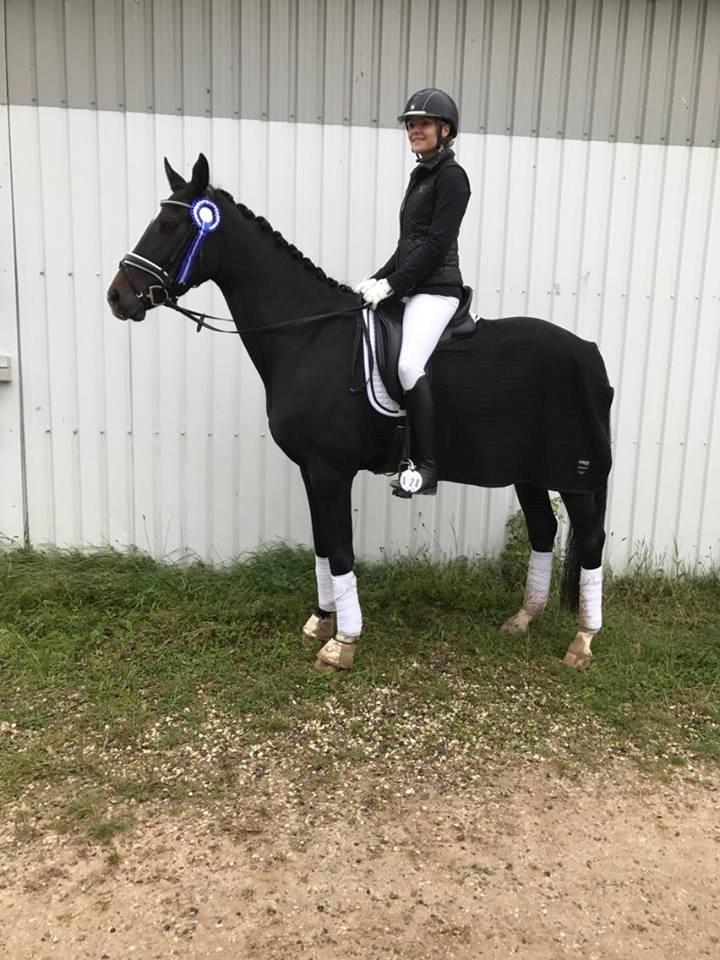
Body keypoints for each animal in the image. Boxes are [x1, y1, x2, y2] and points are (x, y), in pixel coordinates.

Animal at [107, 156, 612, 668]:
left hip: (571, 475)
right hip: (529, 471)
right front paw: (320, 620)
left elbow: (341, 552)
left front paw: (342, 643)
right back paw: (523, 619)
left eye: (169, 226)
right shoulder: (311, 469)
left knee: (590, 538)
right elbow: (323, 546)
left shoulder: (330, 470)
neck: (308, 337)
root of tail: (589, 351)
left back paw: (583, 640)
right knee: (544, 529)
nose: (117, 297)